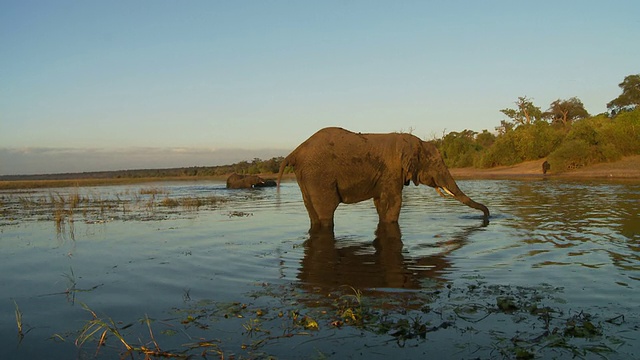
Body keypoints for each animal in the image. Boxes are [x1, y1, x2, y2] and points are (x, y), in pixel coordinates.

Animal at [276, 128, 490, 232]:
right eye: (437, 165)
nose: (487, 216)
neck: (414, 142)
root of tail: (294, 152)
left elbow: (381, 203)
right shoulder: (391, 171)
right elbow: (393, 202)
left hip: (306, 177)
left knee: (313, 212)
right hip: (319, 175)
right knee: (326, 211)